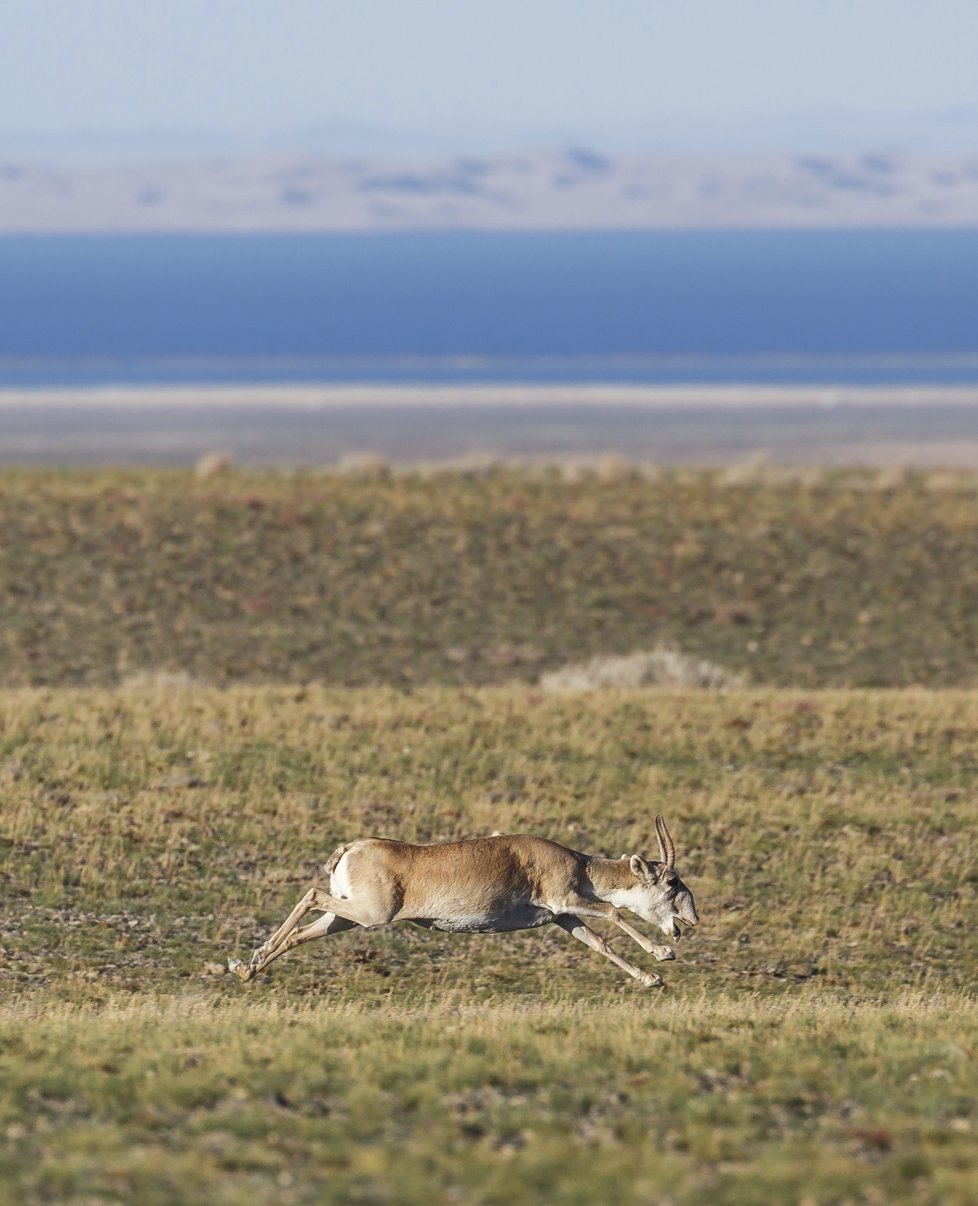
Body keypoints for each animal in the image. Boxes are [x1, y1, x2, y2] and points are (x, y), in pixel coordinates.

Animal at [231, 815, 694, 984]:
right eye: (672, 882)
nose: (691, 920)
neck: (577, 862)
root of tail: (351, 847)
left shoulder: (562, 917)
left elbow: (597, 943)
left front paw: (651, 979)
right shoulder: (565, 900)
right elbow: (613, 910)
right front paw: (663, 956)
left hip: (348, 916)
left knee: (302, 929)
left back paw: (246, 968)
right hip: (368, 915)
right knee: (311, 894)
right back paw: (246, 963)